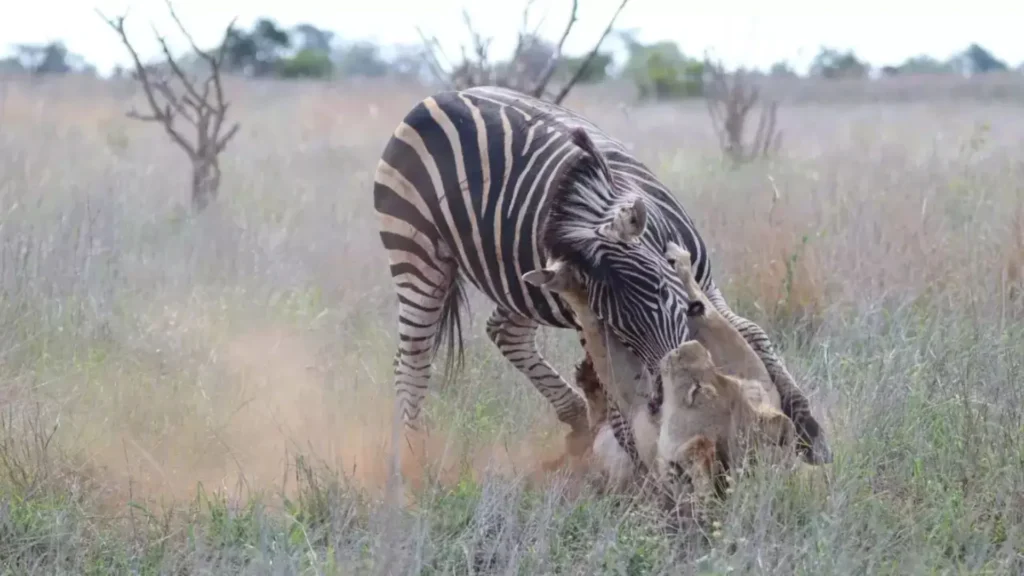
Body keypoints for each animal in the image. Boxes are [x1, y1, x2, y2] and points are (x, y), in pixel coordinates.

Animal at [372, 85, 827, 463]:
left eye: (665, 293)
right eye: (617, 326)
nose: (671, 394)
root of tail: (435, 97)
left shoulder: (704, 281)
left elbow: (751, 331)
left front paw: (808, 428)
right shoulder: (589, 320)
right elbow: (617, 387)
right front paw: (640, 467)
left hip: (519, 281)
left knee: (503, 331)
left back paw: (575, 418)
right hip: (415, 253)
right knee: (411, 362)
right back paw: (413, 463)